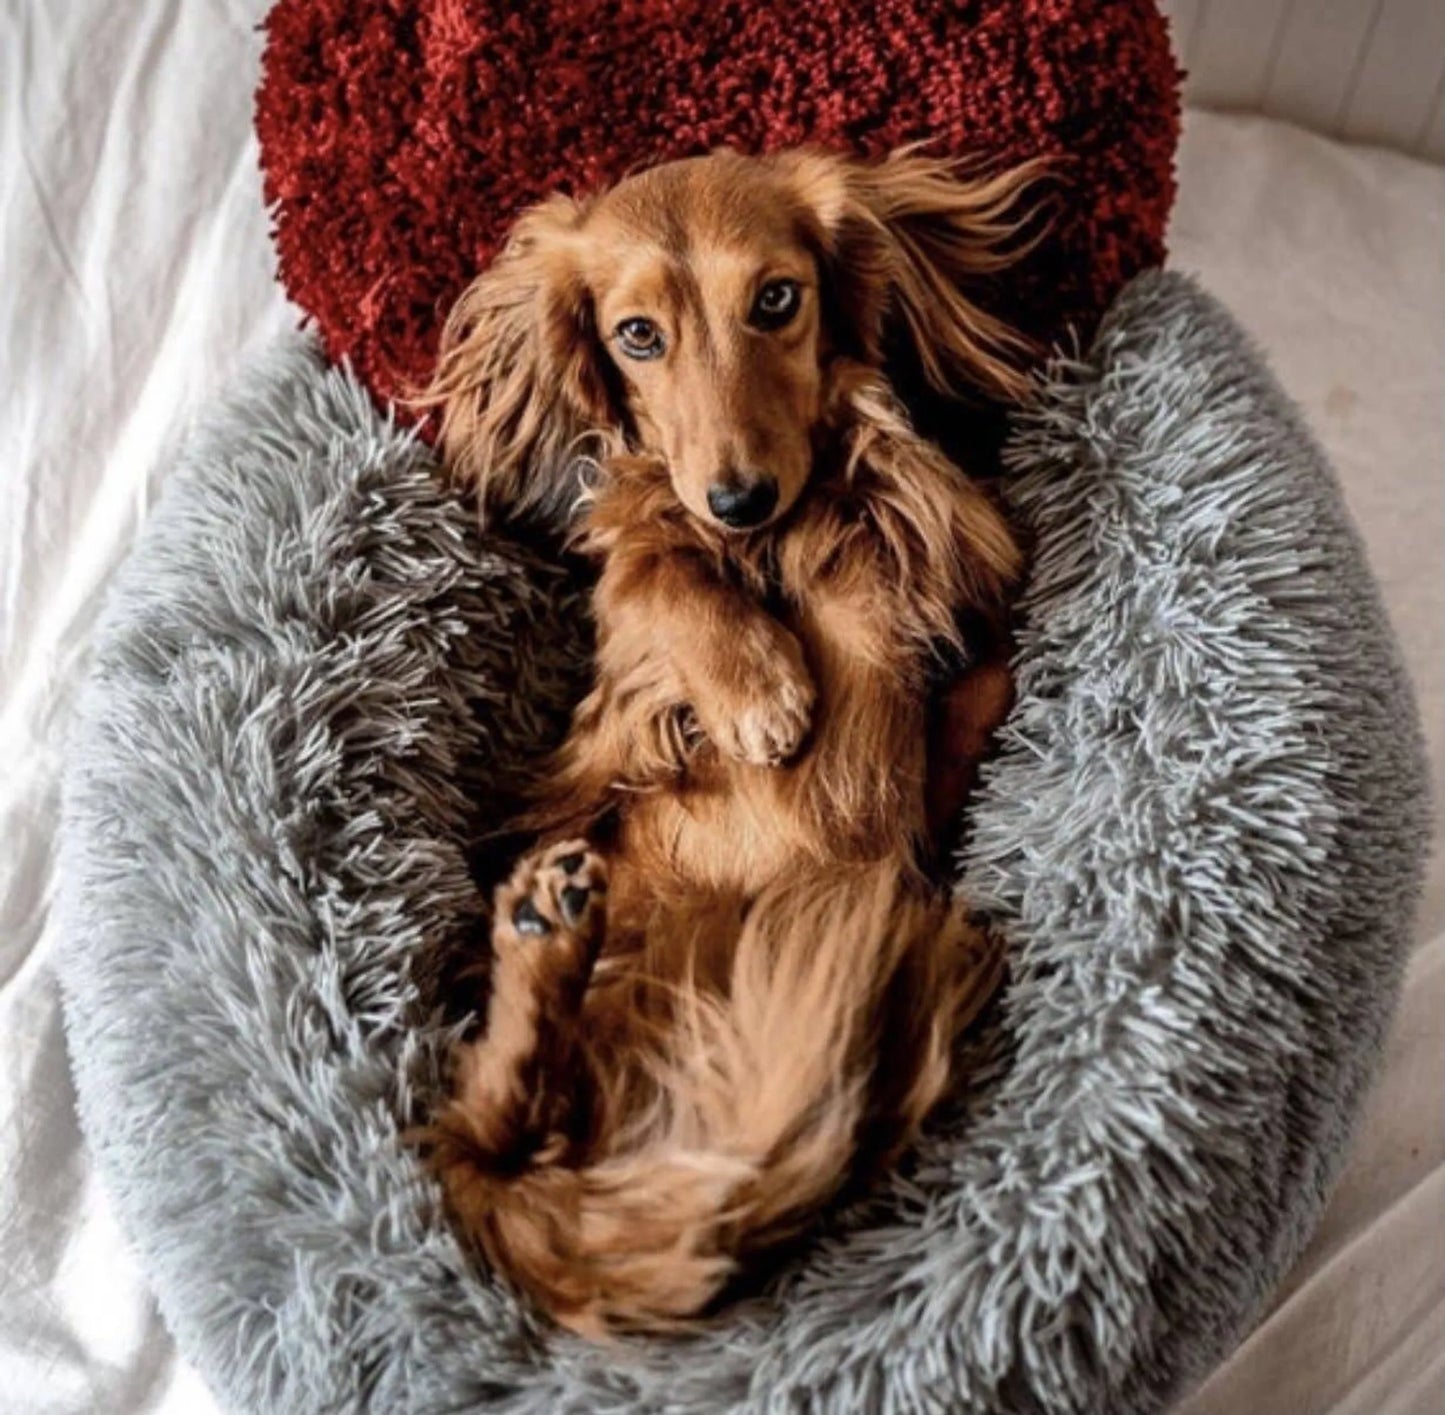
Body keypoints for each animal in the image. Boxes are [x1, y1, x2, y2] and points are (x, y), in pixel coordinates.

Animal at [419, 146, 1040, 1341]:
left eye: (776, 300)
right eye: (636, 335)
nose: (739, 497)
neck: (784, 542)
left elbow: (971, 665)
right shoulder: (630, 645)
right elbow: (656, 569)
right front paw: (757, 686)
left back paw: (546, 937)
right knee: (490, 1135)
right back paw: (542, 932)